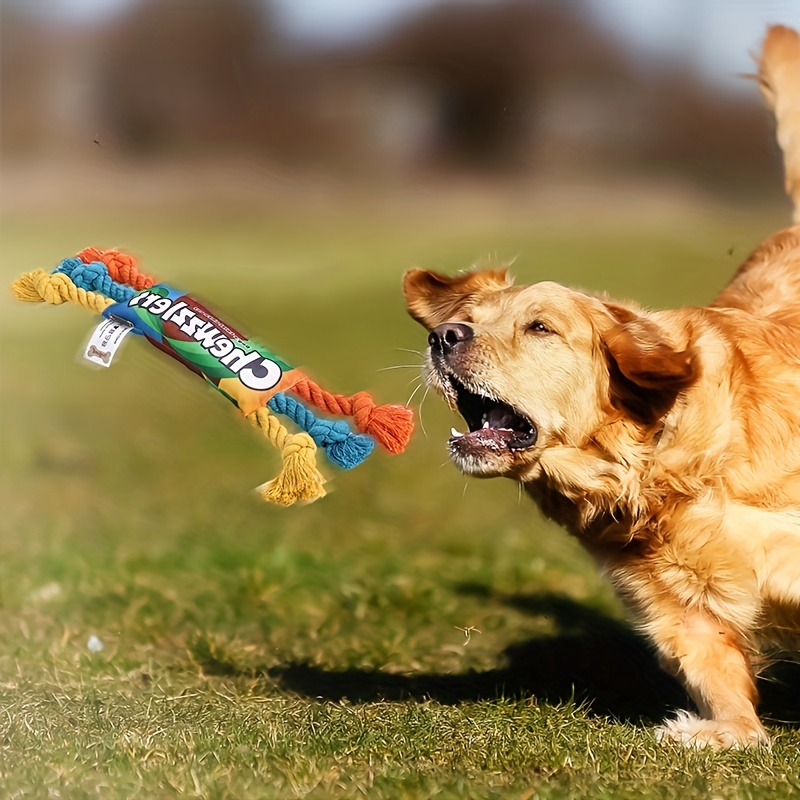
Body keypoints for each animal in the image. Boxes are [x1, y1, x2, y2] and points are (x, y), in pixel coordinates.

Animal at [404, 26, 800, 752]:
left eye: (540, 327)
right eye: (468, 318)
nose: (444, 335)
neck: (652, 462)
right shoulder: (675, 605)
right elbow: (729, 697)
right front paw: (716, 731)